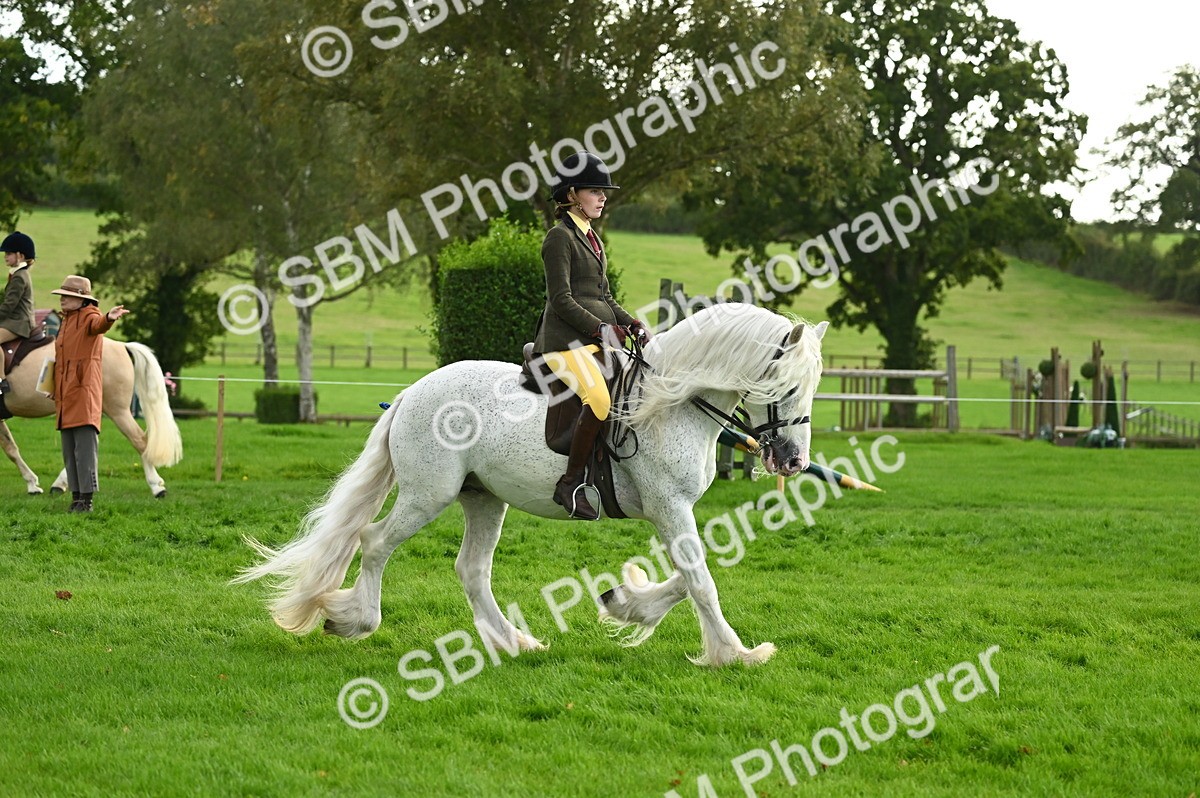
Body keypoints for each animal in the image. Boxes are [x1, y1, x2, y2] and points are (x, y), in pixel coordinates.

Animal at [0, 337, 183, 496]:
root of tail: (121, 345)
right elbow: (11, 449)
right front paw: (32, 484)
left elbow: (9, 450)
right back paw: (60, 484)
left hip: (118, 411)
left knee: (139, 440)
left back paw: (157, 486)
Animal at [234, 303, 827, 666]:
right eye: (785, 386)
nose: (794, 461)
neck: (673, 402)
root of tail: (411, 392)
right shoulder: (669, 507)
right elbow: (701, 579)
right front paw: (734, 653)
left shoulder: (672, 511)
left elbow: (692, 574)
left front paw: (625, 603)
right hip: (429, 494)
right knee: (375, 542)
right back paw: (354, 619)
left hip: (482, 498)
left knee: (471, 569)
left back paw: (512, 642)